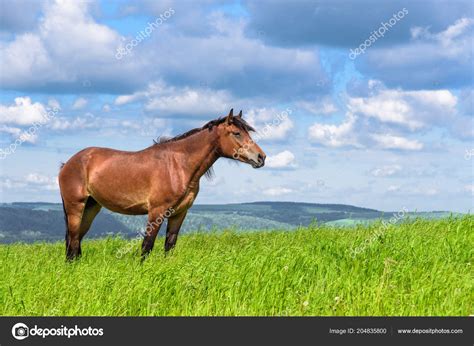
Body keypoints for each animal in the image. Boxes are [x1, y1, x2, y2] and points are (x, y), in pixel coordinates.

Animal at [57, 109, 264, 260]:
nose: (261, 157)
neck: (178, 165)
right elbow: (147, 246)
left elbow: (170, 245)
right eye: (237, 133)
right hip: (75, 206)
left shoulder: (179, 213)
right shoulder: (156, 212)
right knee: (73, 240)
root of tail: (68, 163)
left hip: (92, 206)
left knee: (77, 239)